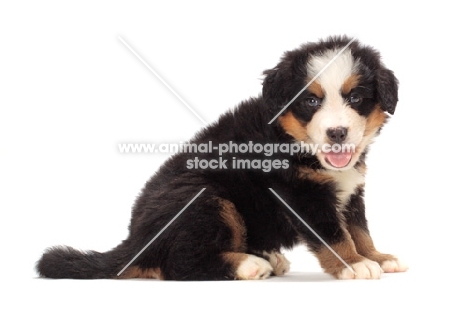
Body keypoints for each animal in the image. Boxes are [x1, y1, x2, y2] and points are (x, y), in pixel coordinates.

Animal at [38, 35, 408, 282]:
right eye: (311, 102)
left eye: (355, 98)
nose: (337, 133)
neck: (293, 142)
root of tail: (134, 241)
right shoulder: (301, 194)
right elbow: (334, 235)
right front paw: (354, 264)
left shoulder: (350, 191)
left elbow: (359, 229)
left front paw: (377, 257)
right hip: (205, 198)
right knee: (179, 264)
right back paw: (249, 264)